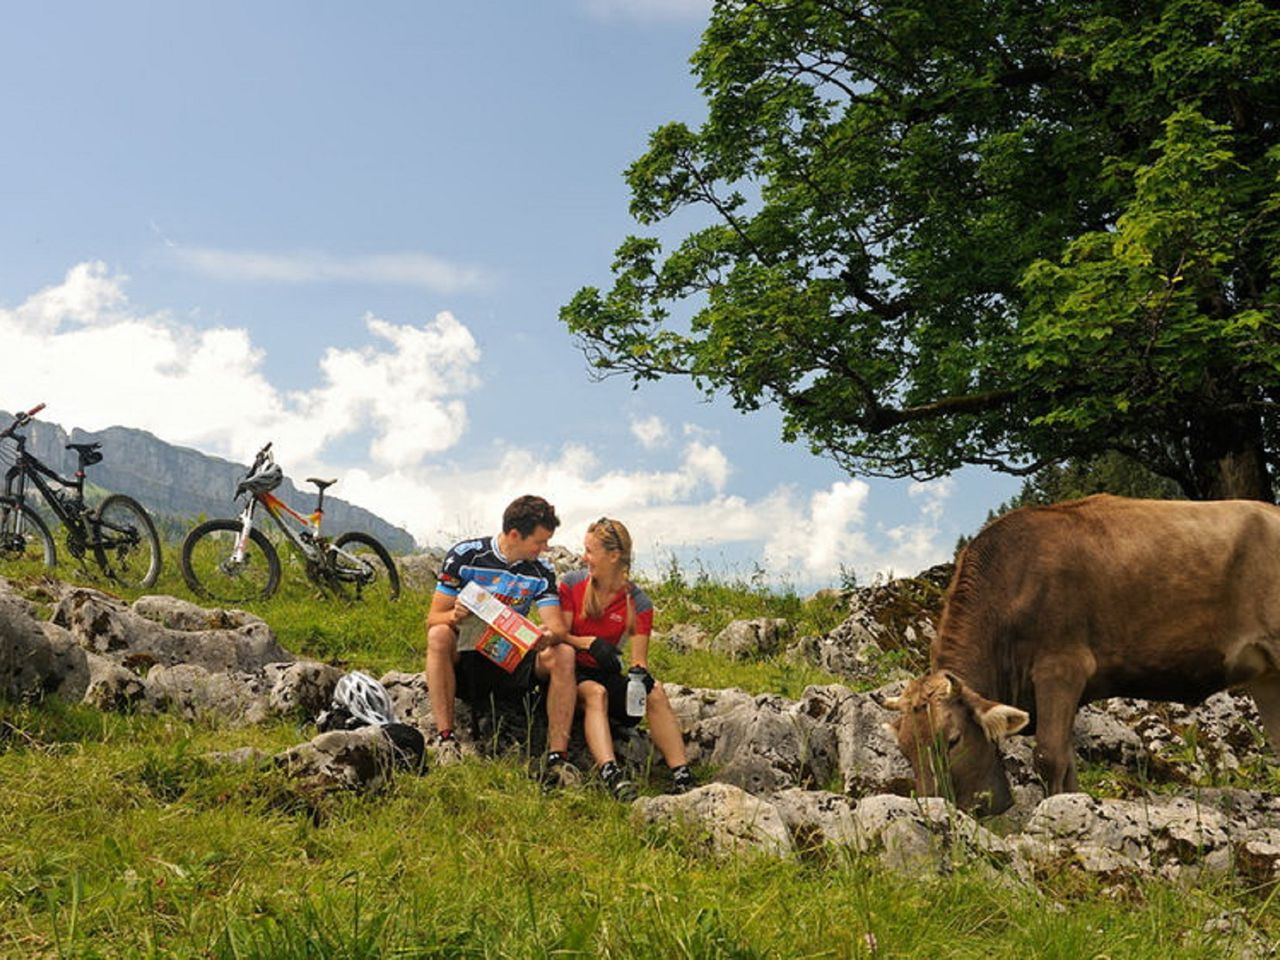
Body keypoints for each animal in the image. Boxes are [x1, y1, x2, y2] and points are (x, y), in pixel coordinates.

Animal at [885, 496, 1280, 819]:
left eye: (953, 740)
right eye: (903, 748)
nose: (933, 806)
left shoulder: (1061, 667)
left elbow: (1049, 756)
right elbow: (1068, 761)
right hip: (1267, 676)